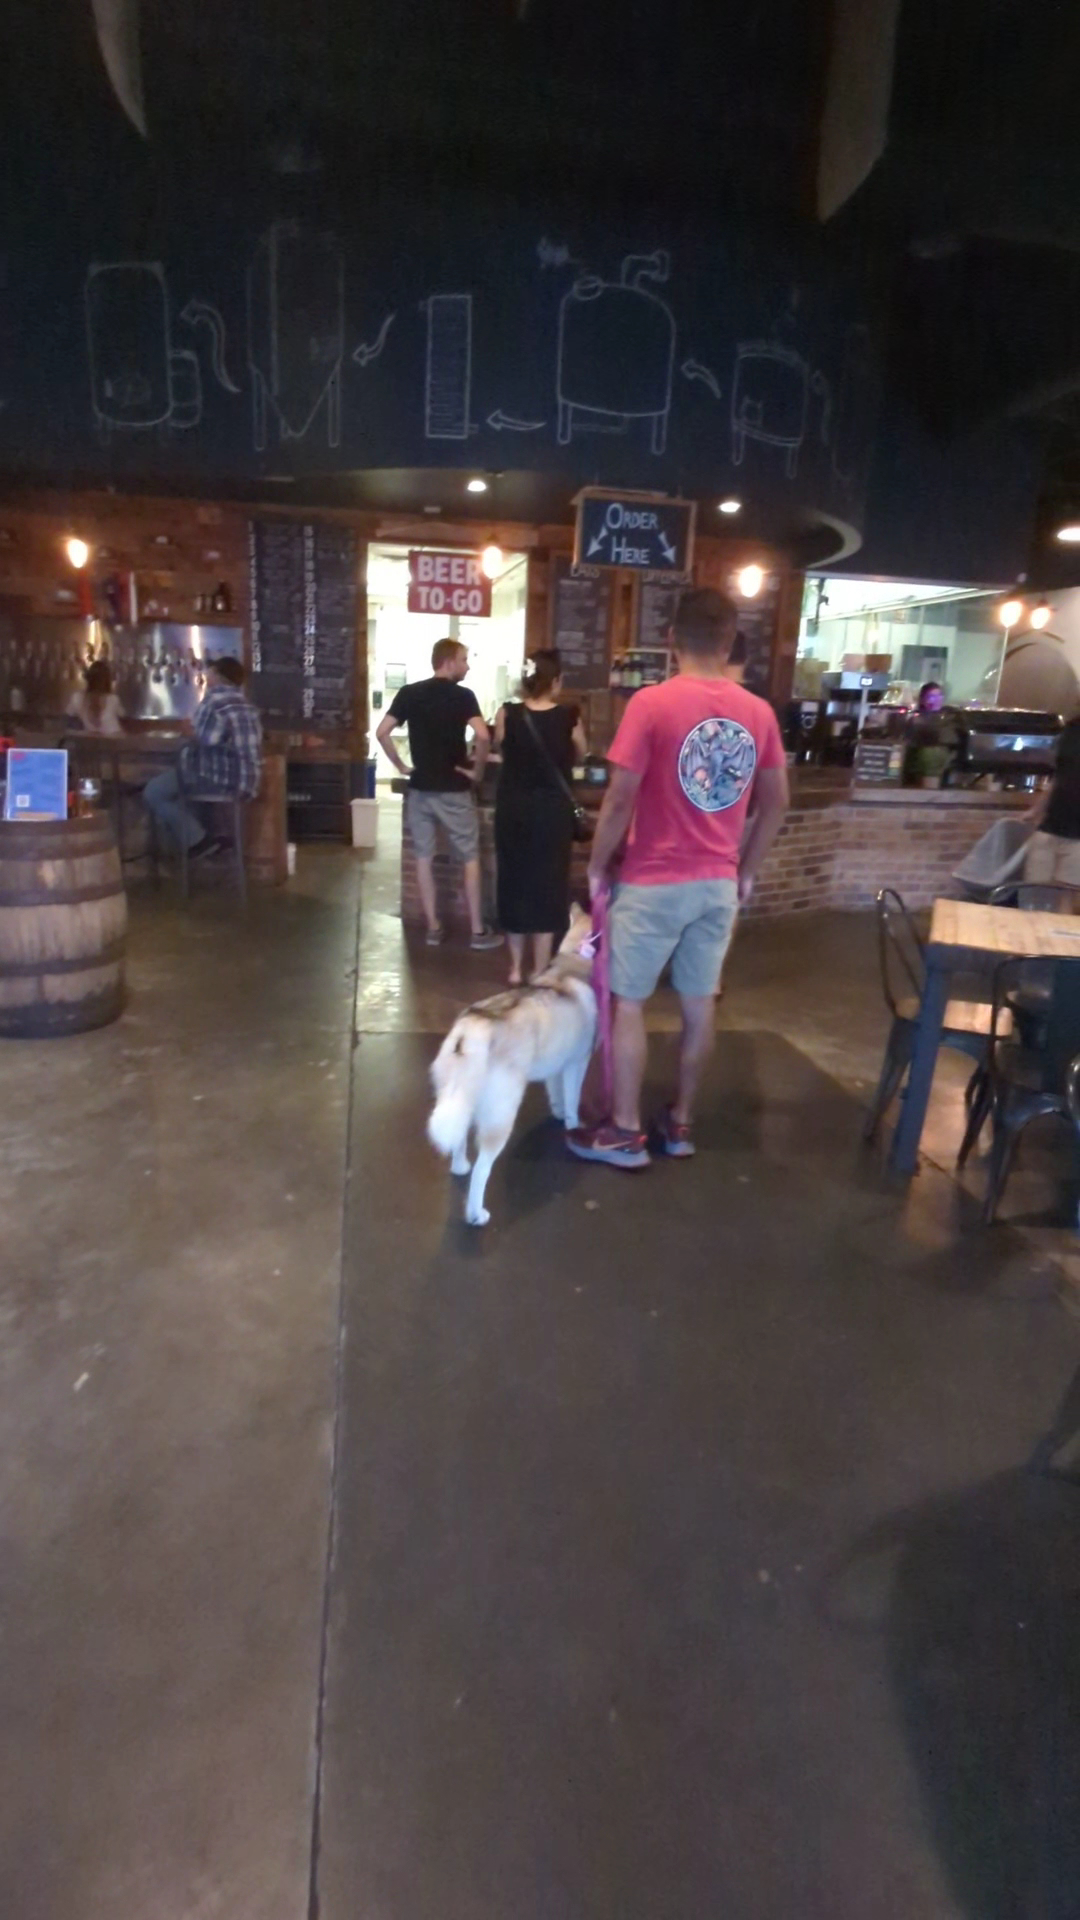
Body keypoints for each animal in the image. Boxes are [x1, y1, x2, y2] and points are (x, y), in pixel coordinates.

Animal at [428, 906, 598, 1225]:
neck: (571, 964)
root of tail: (473, 1027)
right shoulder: (577, 1063)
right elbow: (572, 1100)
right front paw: (573, 1126)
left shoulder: (556, 1065)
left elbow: (557, 1094)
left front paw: (558, 1113)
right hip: (501, 1115)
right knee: (482, 1170)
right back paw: (476, 1213)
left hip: (458, 1098)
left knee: (459, 1139)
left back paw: (459, 1166)